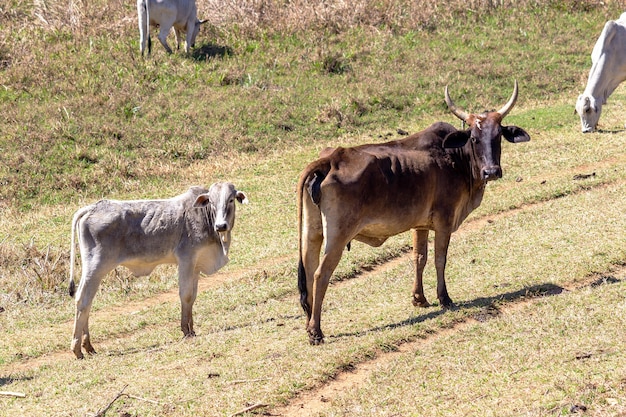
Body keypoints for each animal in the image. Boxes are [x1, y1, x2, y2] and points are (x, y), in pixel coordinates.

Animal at [66, 182, 246, 358]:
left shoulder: (195, 266)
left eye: (230, 200)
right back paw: (77, 349)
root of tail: (92, 207)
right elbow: (186, 295)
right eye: (212, 202)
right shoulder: (186, 260)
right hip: (95, 268)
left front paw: (192, 330)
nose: (221, 225)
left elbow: (193, 296)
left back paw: (88, 347)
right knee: (82, 301)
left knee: (87, 302)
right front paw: (186, 331)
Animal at [296, 81, 528, 344]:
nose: (491, 171)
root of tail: (331, 159)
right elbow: (439, 259)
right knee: (320, 275)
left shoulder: (420, 225)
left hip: (311, 234)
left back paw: (308, 323)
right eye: (474, 138)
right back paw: (316, 331)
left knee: (308, 272)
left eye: (498, 135)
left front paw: (419, 298)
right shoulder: (444, 221)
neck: (456, 158)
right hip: (337, 237)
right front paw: (444, 298)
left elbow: (419, 258)